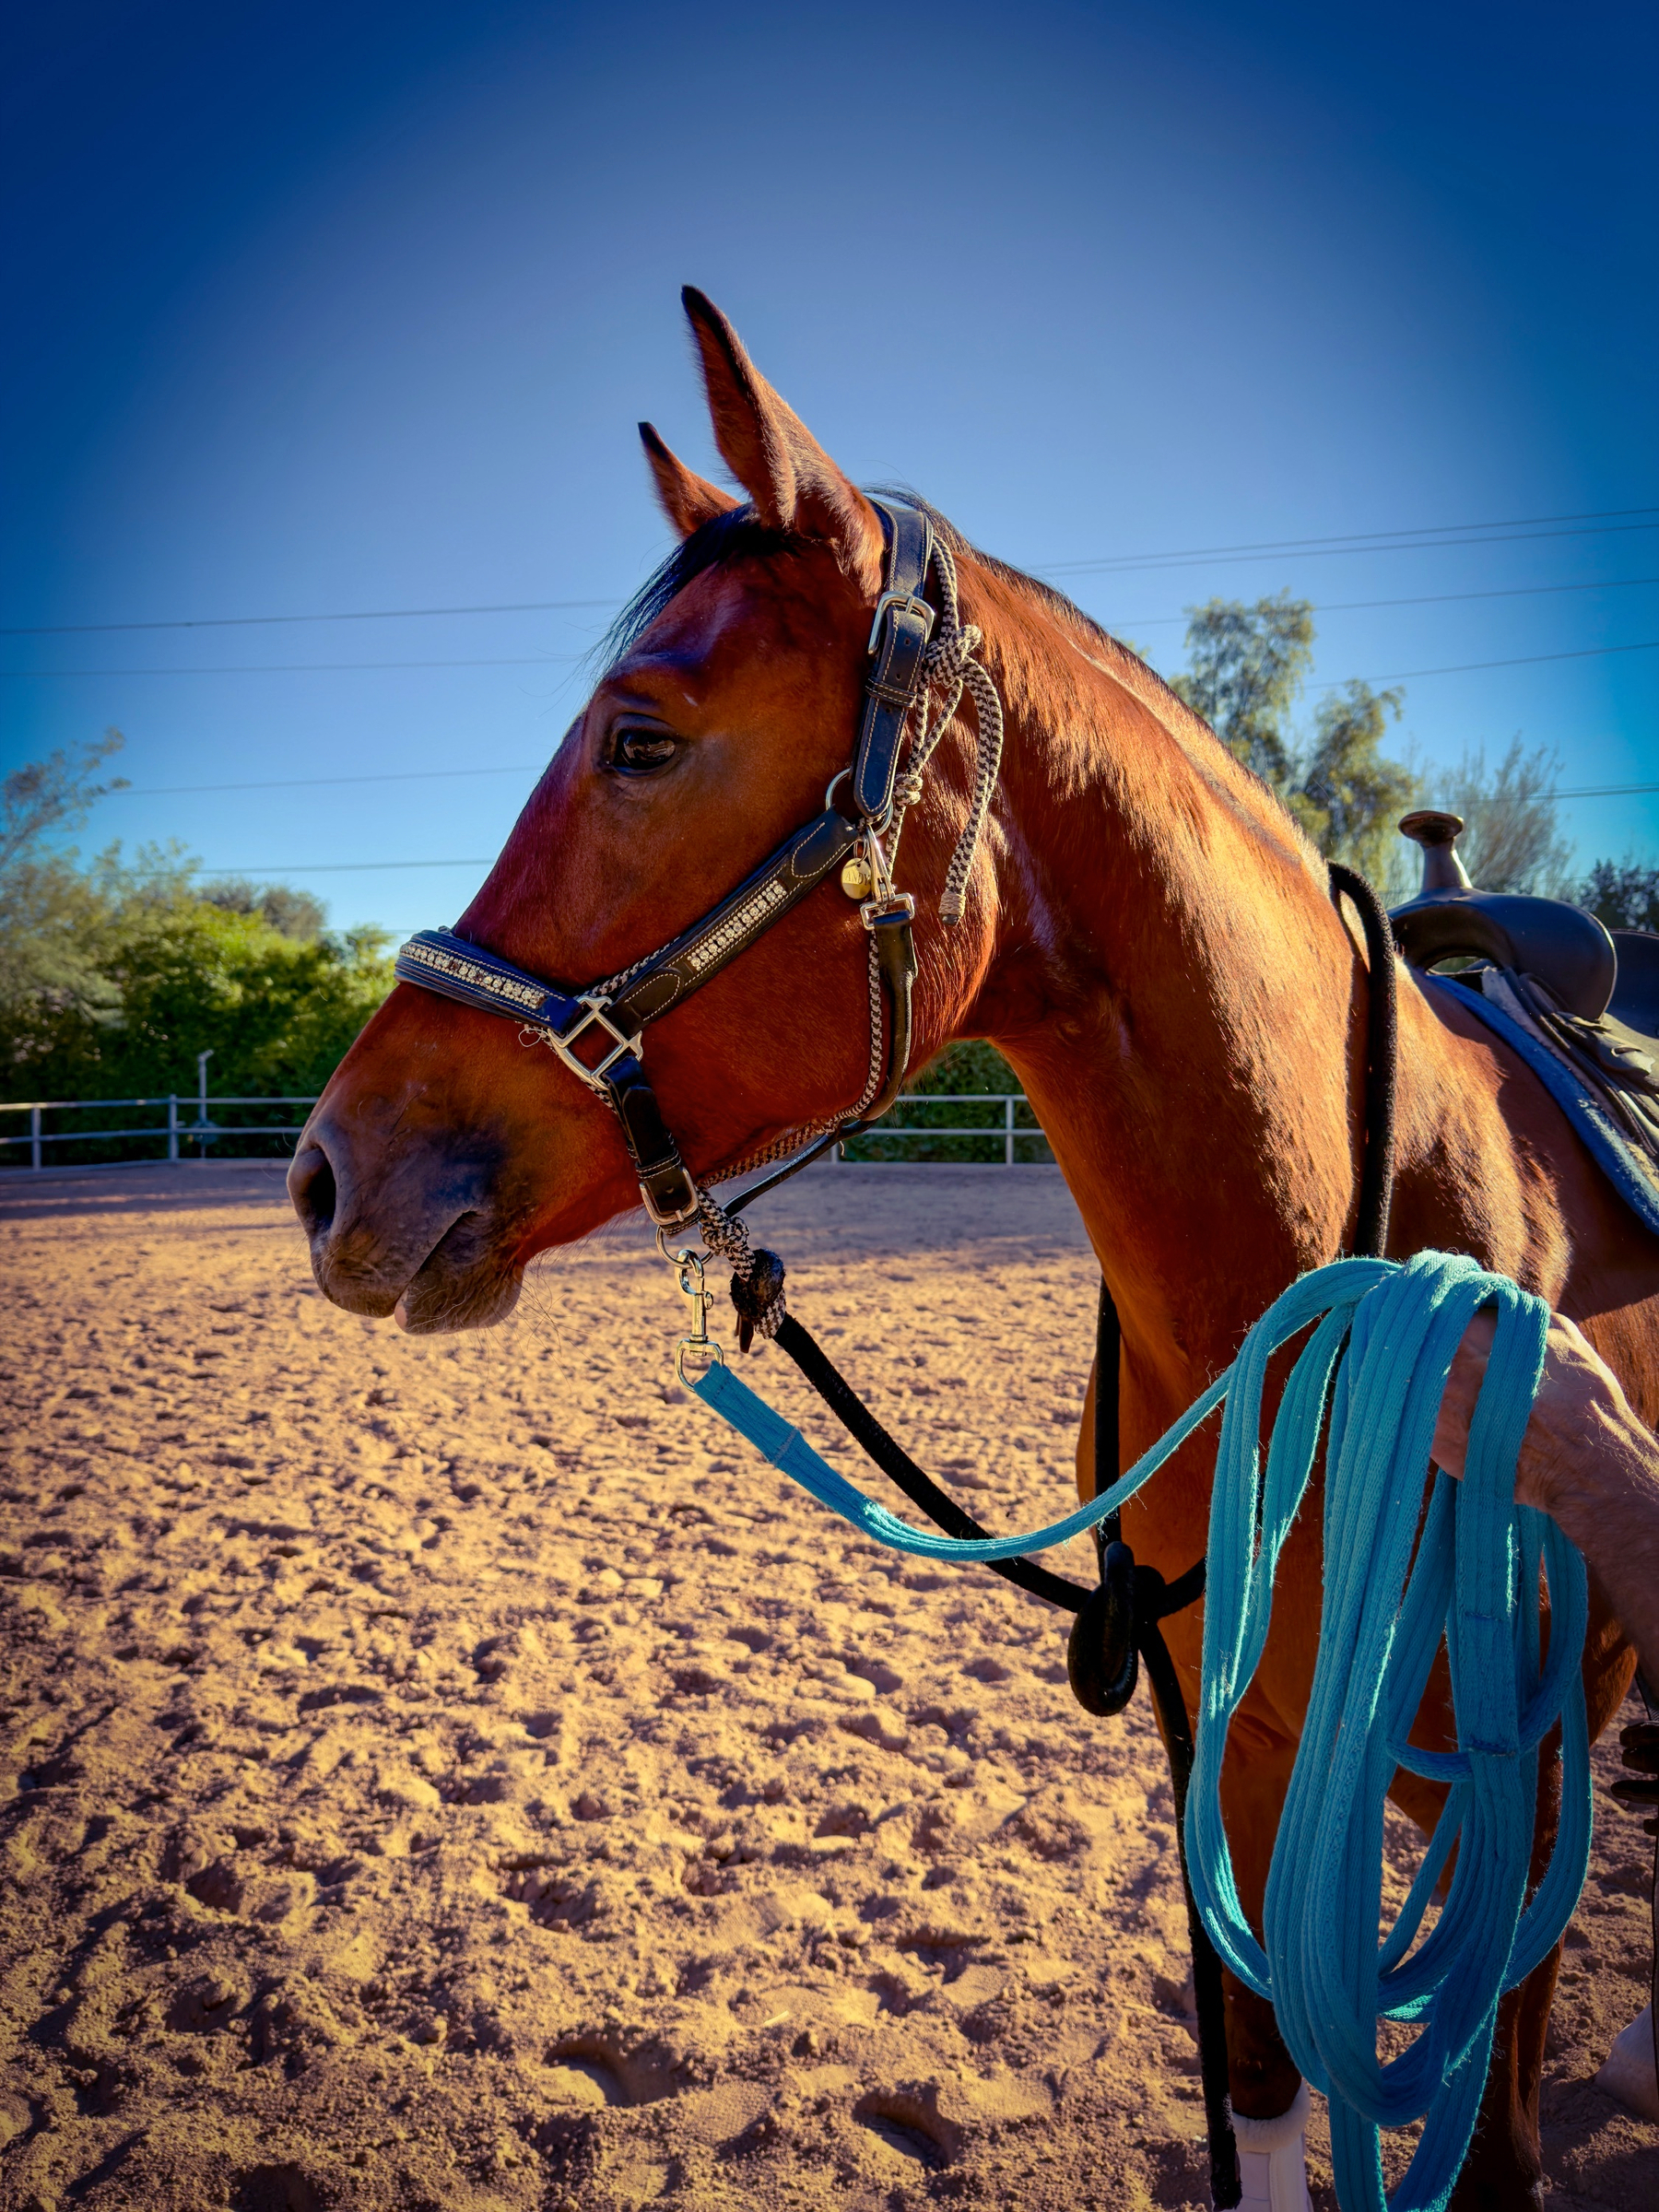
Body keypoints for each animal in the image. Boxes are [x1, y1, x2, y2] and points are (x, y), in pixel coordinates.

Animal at [288, 288, 1655, 2207]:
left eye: (640, 738)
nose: (329, 1175)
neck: (1338, 1278)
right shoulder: (1230, 1744)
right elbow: (1264, 2105)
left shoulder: (1518, 1811)